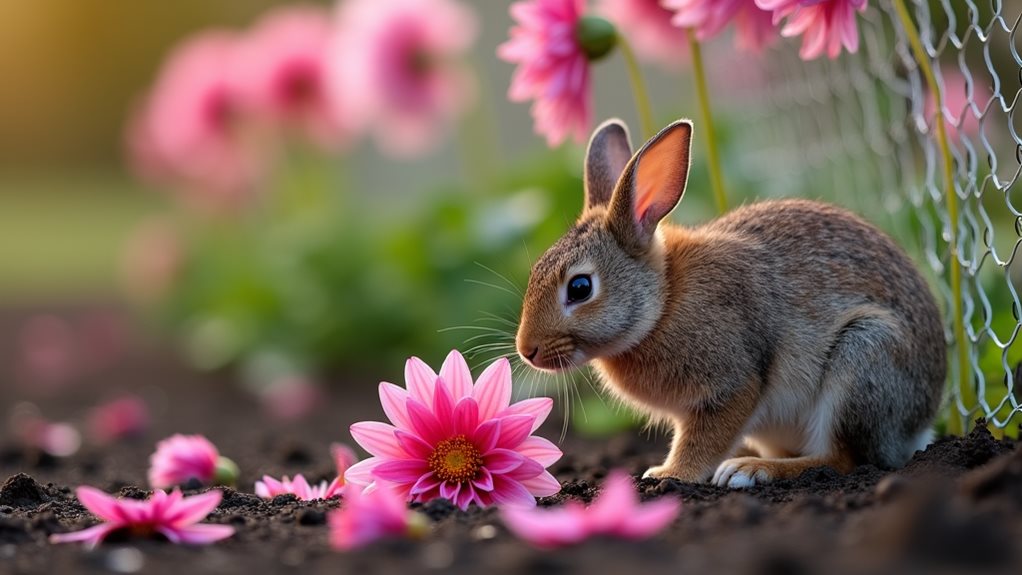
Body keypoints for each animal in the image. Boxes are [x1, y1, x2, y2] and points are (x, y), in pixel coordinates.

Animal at [515, 118, 946, 487]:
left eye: (580, 287)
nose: (526, 350)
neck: (664, 301)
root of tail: (918, 424)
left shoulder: (732, 384)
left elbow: (702, 440)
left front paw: (669, 475)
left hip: (863, 357)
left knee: (843, 459)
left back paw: (750, 471)